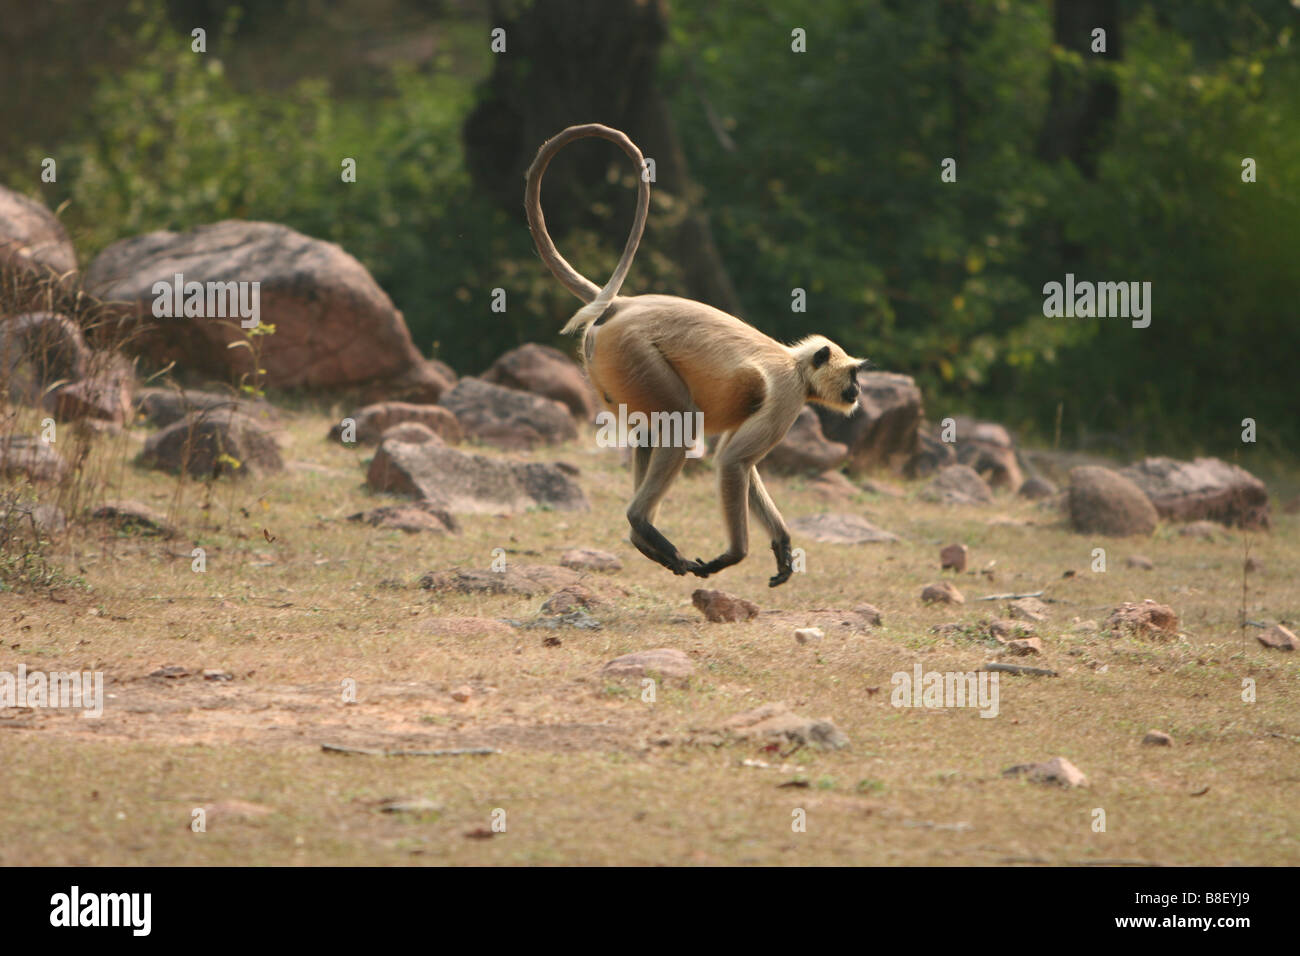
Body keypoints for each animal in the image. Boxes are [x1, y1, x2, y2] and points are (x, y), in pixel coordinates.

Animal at [520, 123, 873, 587]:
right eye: (853, 375)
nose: (858, 391)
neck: (795, 364)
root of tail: (623, 305)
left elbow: (739, 460)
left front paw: (782, 543)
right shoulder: (787, 395)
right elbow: (733, 461)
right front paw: (736, 554)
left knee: (650, 431)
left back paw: (640, 537)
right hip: (634, 352)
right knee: (680, 421)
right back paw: (642, 522)